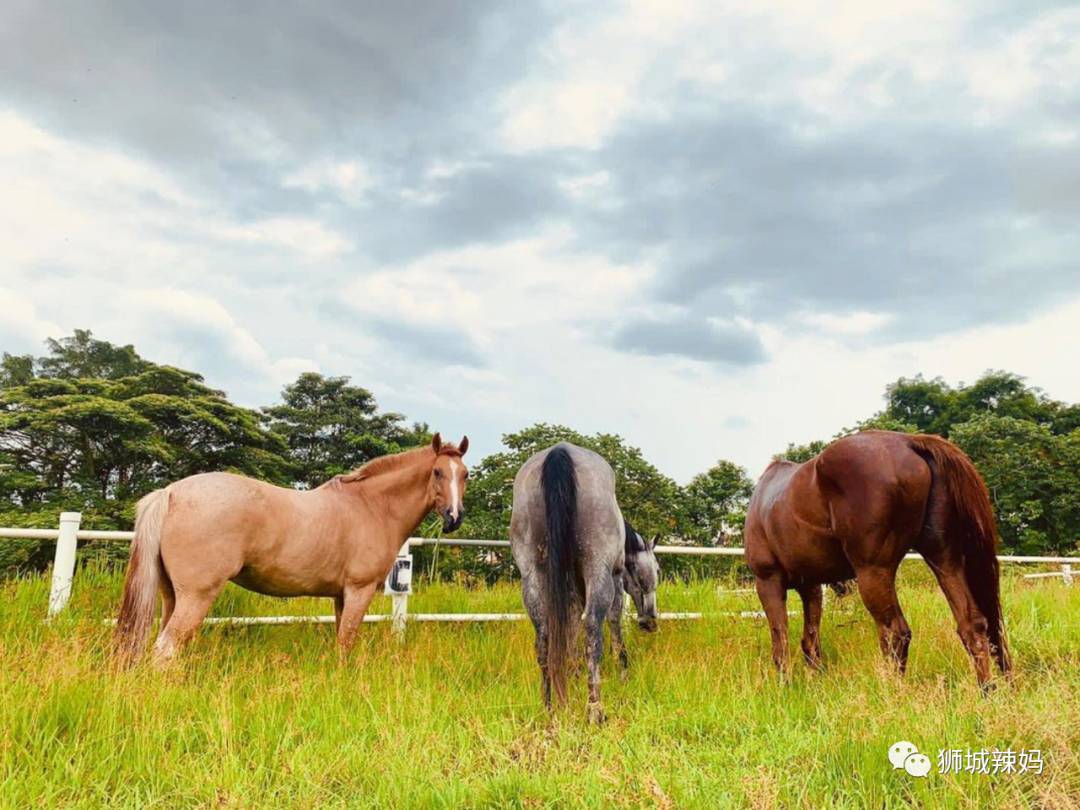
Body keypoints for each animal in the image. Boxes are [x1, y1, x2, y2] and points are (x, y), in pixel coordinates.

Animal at [115, 434, 468, 660]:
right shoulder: (359, 591)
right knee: (167, 648)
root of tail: (170, 493)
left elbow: (340, 639)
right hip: (196, 596)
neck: (371, 506)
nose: (454, 517)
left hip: (171, 595)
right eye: (437, 472)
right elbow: (346, 644)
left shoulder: (341, 596)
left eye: (464, 474)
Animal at [511, 444, 660, 721]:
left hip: (532, 577)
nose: (650, 622)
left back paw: (549, 705)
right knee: (592, 630)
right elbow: (612, 623)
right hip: (597, 572)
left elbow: (570, 630)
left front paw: (572, 673)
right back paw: (595, 708)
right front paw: (623, 672)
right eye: (657, 569)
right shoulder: (614, 578)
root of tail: (559, 452)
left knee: (544, 637)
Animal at [747, 427, 1006, 686]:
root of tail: (909, 441)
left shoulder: (768, 580)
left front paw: (785, 685)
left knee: (895, 632)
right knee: (971, 624)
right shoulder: (810, 586)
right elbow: (810, 641)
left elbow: (780, 641)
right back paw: (987, 689)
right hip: (944, 560)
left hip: (873, 572)